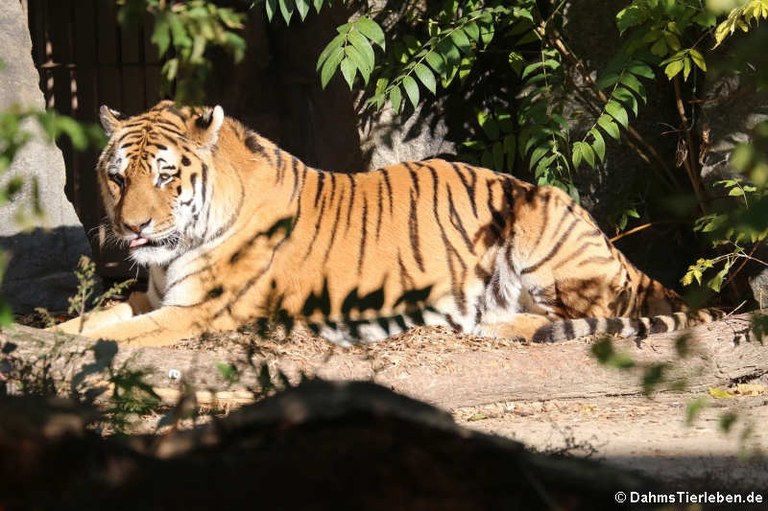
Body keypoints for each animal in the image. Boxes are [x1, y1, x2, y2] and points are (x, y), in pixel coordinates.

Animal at [52, 101, 720, 348]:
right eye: (118, 178)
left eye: (166, 177)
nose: (134, 228)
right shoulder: (151, 295)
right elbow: (92, 318)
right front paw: (48, 336)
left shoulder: (192, 312)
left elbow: (112, 336)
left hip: (542, 224)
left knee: (584, 316)